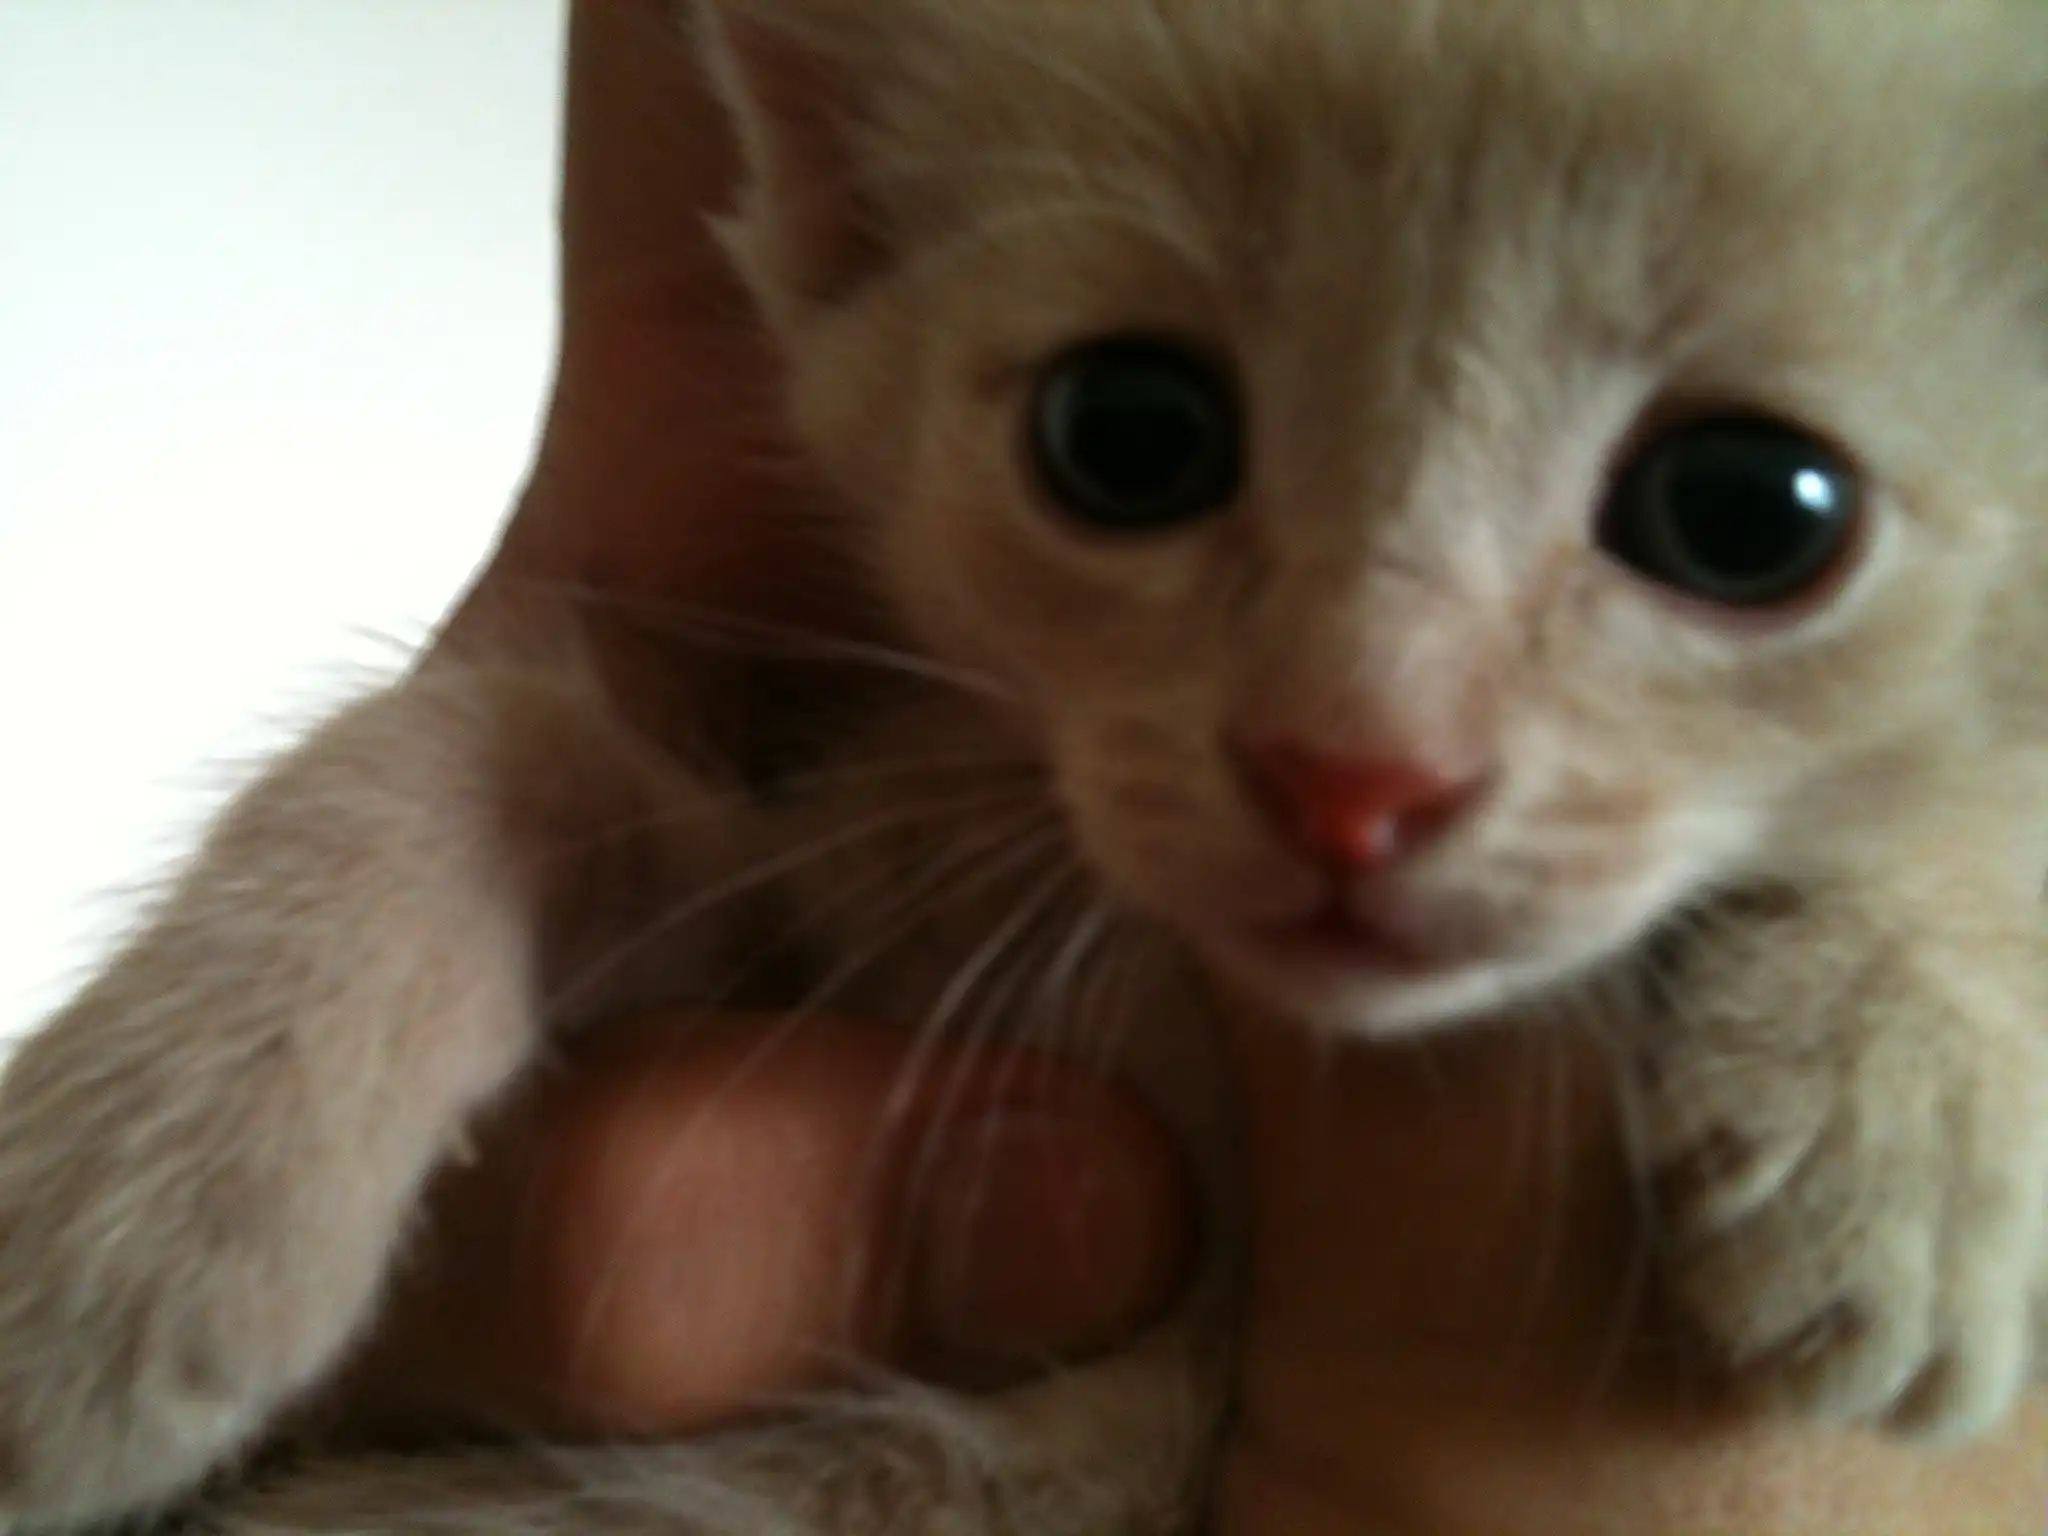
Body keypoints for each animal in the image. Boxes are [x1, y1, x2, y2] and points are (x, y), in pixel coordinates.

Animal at [2, 0, 2046, 1530]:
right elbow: (498, 740)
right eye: (1125, 435)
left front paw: (1905, 1067)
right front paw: (149, 1183)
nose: (1350, 773)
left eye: (1747, 513)